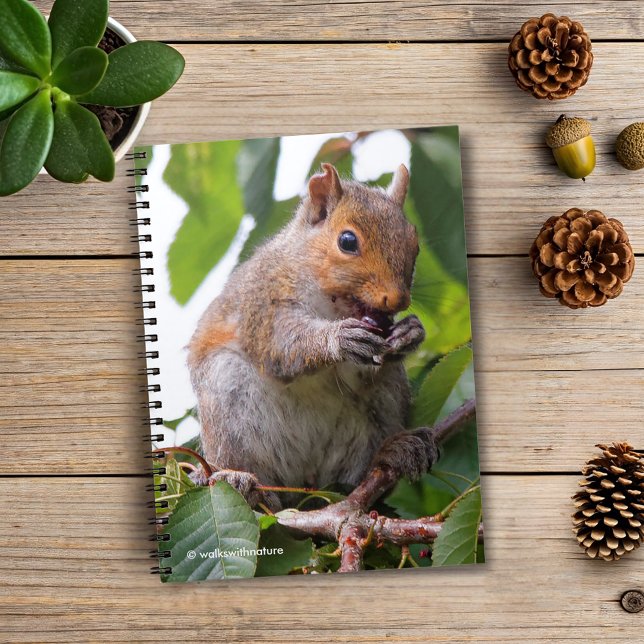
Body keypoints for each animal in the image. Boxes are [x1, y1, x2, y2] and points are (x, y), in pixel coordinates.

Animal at [187, 163, 437, 508]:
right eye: (347, 241)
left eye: (415, 245)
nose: (397, 300)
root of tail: (305, 488)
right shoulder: (264, 303)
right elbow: (281, 344)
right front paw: (337, 339)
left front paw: (411, 333)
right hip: (228, 398)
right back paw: (242, 483)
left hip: (386, 398)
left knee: (357, 476)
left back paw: (394, 451)